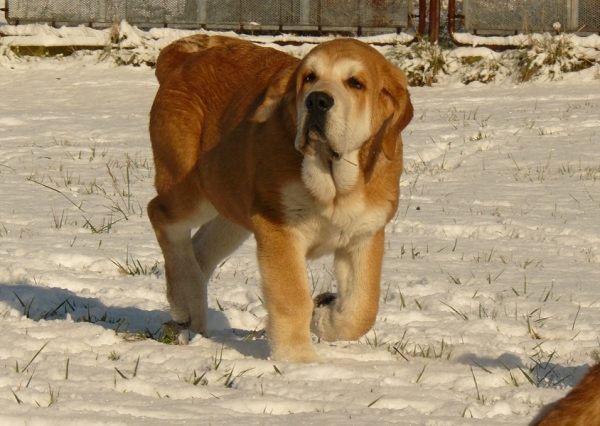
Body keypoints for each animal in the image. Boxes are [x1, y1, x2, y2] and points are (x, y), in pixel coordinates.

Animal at [149, 35, 412, 362]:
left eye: (356, 83)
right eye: (309, 77)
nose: (317, 100)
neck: (334, 185)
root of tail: (181, 61)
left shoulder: (364, 233)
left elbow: (361, 308)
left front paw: (323, 314)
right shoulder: (280, 227)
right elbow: (291, 299)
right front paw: (298, 362)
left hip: (232, 206)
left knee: (199, 250)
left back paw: (195, 319)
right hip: (191, 189)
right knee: (161, 216)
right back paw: (182, 301)